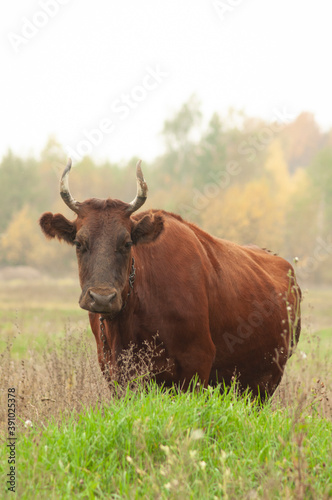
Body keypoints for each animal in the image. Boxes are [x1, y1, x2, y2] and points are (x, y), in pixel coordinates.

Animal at [39, 158, 300, 396]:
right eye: (78, 243)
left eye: (127, 243)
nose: (102, 298)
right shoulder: (114, 370)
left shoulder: (197, 364)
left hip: (267, 379)